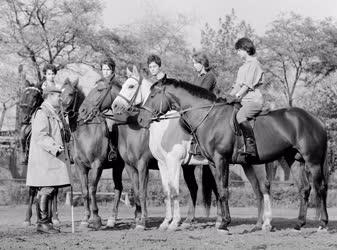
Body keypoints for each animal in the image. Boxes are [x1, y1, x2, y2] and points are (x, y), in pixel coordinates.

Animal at [111, 66, 220, 230]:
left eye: (131, 86)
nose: (115, 105)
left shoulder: (153, 164)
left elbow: (155, 192)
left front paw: (148, 222)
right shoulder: (146, 165)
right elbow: (161, 192)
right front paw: (162, 222)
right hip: (191, 167)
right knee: (196, 188)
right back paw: (188, 221)